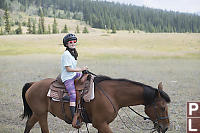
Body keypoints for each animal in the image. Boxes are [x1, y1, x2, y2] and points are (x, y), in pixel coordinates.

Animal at [20, 74, 170, 132]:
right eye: (162, 107)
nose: (165, 127)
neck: (112, 95)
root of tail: (33, 84)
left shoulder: (102, 125)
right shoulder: (101, 124)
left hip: (37, 113)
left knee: (29, 124)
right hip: (41, 114)